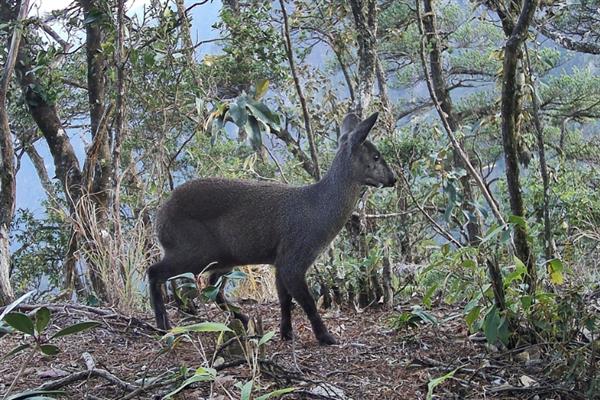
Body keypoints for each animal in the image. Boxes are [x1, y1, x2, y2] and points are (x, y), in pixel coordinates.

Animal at [148, 112, 396, 344]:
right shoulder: (293, 259)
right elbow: (307, 302)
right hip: (194, 252)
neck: (317, 209)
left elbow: (284, 300)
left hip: (224, 259)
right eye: (376, 156)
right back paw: (163, 325)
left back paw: (242, 319)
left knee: (213, 288)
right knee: (155, 272)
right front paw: (326, 337)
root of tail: (160, 219)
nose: (393, 178)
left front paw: (286, 333)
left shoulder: (279, 260)